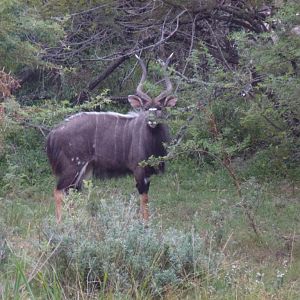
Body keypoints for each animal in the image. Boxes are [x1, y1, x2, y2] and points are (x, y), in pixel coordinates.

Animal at [46, 53, 176, 223]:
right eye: (146, 108)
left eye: (160, 108)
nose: (151, 120)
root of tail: (53, 133)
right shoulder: (138, 169)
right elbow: (144, 197)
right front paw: (145, 224)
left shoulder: (147, 174)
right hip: (72, 166)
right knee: (59, 191)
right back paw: (61, 224)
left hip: (83, 169)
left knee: (71, 192)